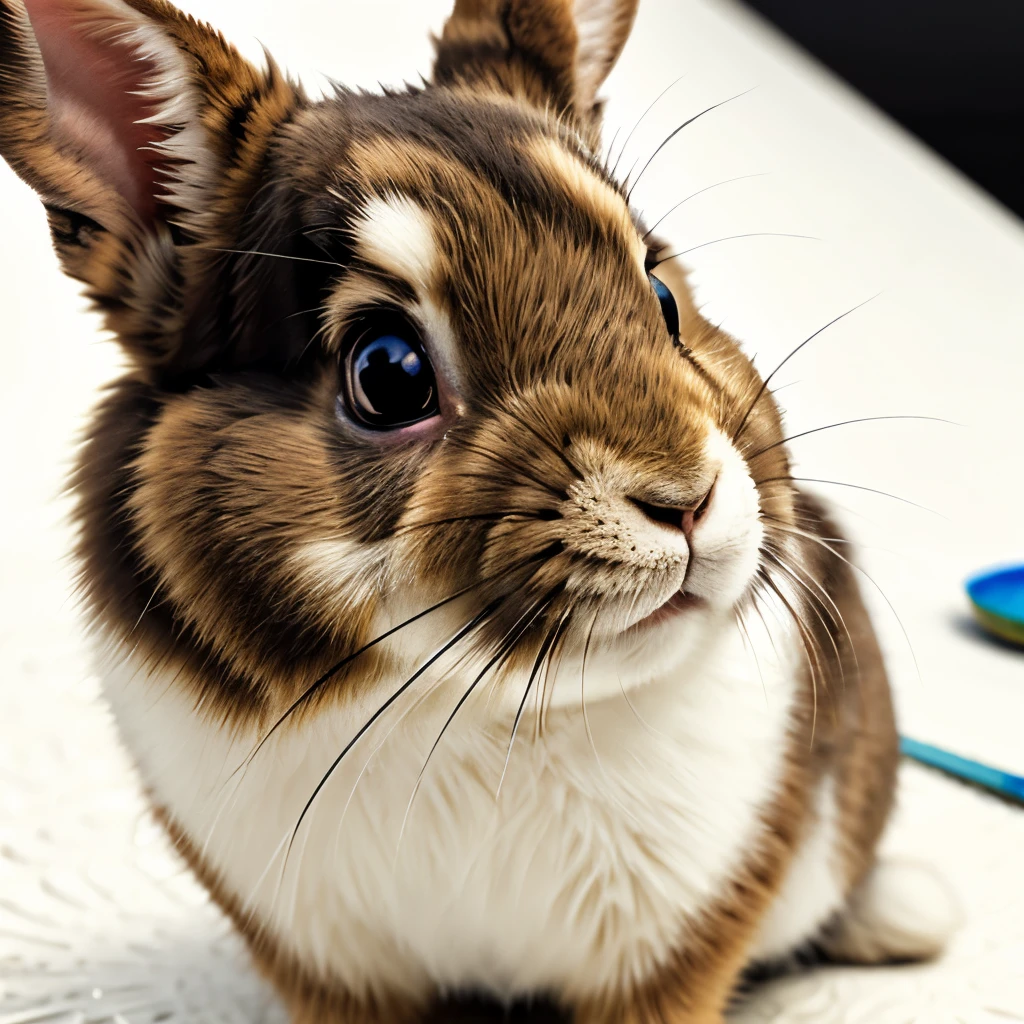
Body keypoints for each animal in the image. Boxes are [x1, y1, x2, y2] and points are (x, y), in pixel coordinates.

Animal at [2, 0, 958, 1019]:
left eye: (661, 292)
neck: (479, 704)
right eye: (387, 373)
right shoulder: (327, 969)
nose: (688, 499)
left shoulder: (669, 962)